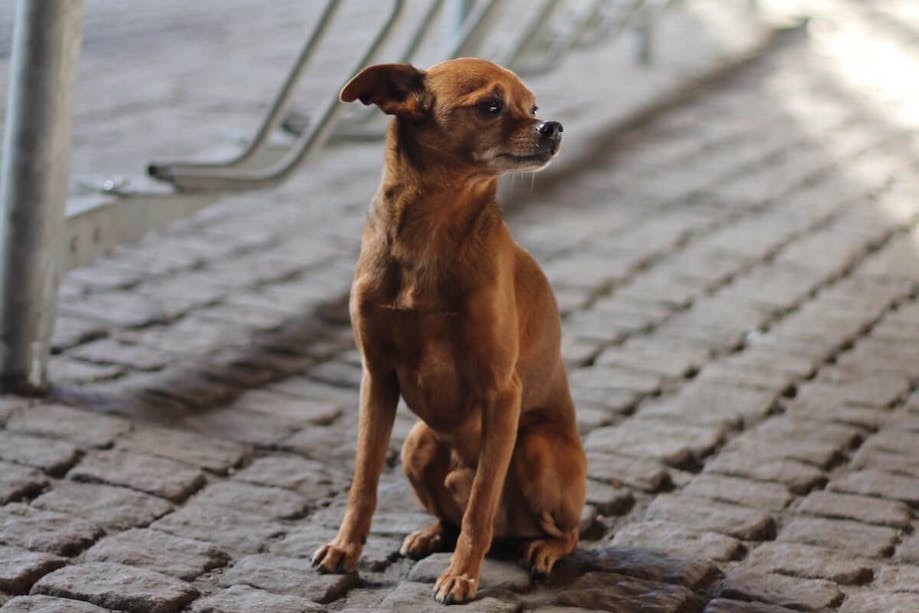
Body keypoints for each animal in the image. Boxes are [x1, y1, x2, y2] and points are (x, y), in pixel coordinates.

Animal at [312, 56, 584, 604]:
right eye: (491, 106)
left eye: (534, 107)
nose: (553, 126)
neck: (431, 229)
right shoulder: (377, 378)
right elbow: (363, 481)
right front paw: (345, 548)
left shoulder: (502, 391)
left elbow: (481, 501)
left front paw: (461, 576)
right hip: (417, 444)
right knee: (453, 515)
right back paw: (430, 534)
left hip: (536, 450)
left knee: (562, 530)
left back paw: (541, 550)